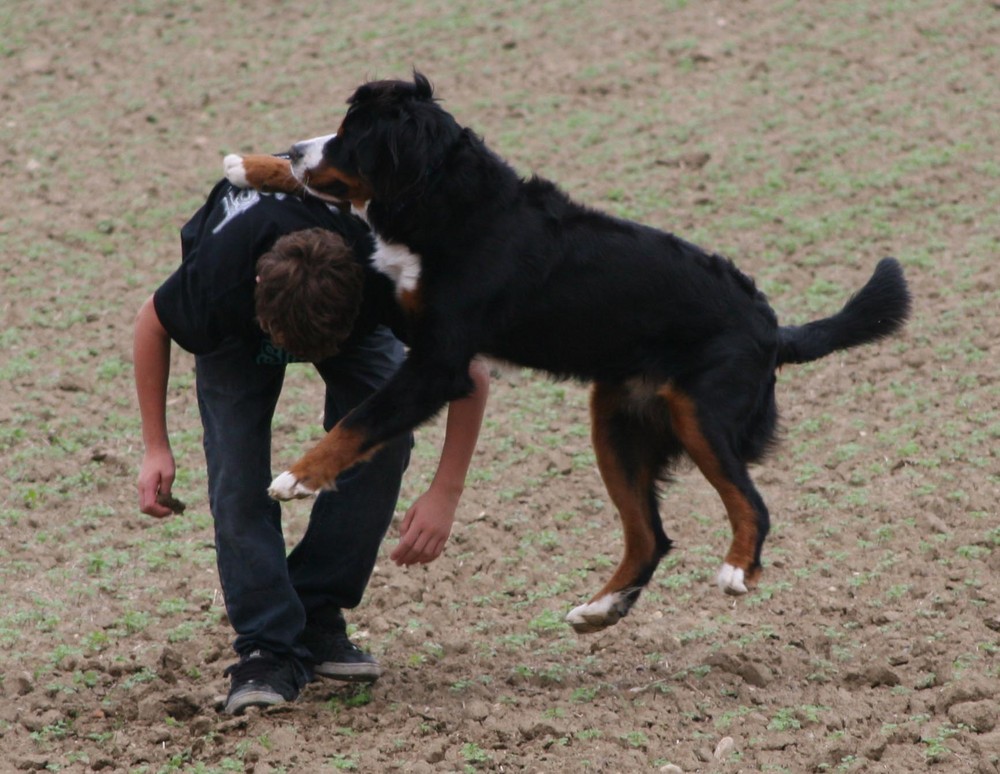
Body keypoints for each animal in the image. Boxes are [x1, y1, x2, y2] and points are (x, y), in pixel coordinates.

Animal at [223, 73, 912, 632]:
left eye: (350, 135)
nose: (296, 148)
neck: (448, 204)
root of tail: (771, 325)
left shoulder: (437, 364)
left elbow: (357, 422)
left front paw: (296, 477)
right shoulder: (399, 301)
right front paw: (251, 165)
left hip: (703, 416)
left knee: (751, 504)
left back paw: (737, 569)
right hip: (615, 425)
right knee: (649, 537)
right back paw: (599, 609)